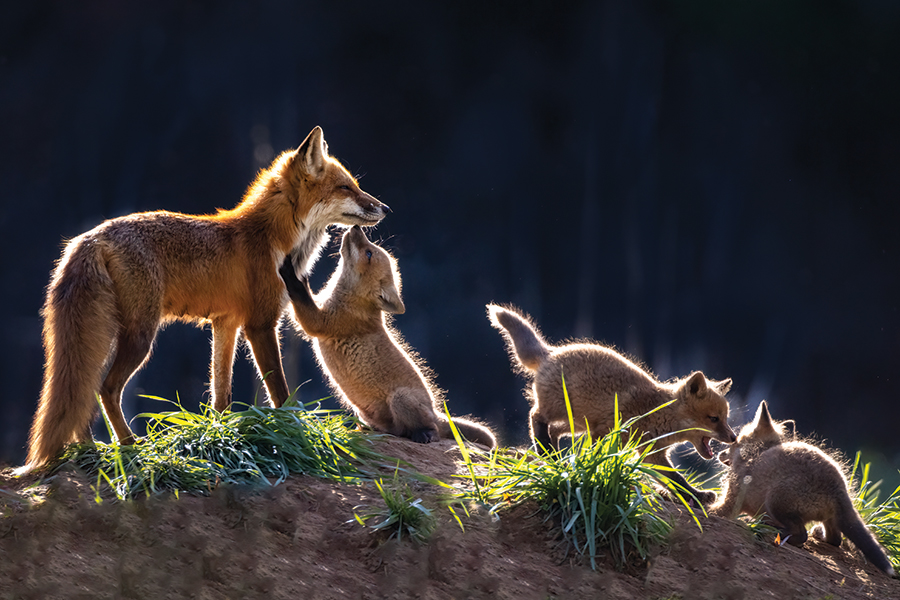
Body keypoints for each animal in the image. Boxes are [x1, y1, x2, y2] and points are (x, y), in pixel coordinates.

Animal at [18, 126, 389, 475]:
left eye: (355, 185)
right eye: (345, 188)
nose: (385, 208)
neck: (272, 239)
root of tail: (90, 237)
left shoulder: (226, 323)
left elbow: (220, 393)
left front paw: (219, 435)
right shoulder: (260, 324)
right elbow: (280, 393)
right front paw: (294, 432)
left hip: (107, 334)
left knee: (84, 391)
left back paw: (89, 450)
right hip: (140, 335)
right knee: (105, 389)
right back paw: (129, 446)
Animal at [278, 226, 497, 448]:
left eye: (368, 253)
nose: (356, 227)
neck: (352, 301)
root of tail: (436, 412)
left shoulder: (321, 324)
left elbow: (301, 296)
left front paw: (291, 273)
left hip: (400, 399)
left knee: (432, 430)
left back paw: (425, 435)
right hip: (365, 413)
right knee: (395, 430)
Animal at [487, 304, 735, 504]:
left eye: (726, 418)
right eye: (714, 419)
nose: (734, 438)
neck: (655, 413)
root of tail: (551, 352)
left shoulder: (651, 454)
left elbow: (674, 480)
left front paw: (697, 496)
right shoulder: (607, 433)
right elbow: (675, 478)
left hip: (577, 423)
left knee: (554, 430)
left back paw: (554, 456)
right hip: (559, 410)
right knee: (536, 416)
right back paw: (545, 450)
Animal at [712, 400, 895, 577]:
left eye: (735, 440)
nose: (719, 454)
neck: (756, 451)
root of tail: (839, 492)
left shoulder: (732, 501)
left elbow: (716, 511)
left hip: (776, 501)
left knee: (801, 535)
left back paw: (771, 529)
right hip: (830, 519)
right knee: (835, 540)